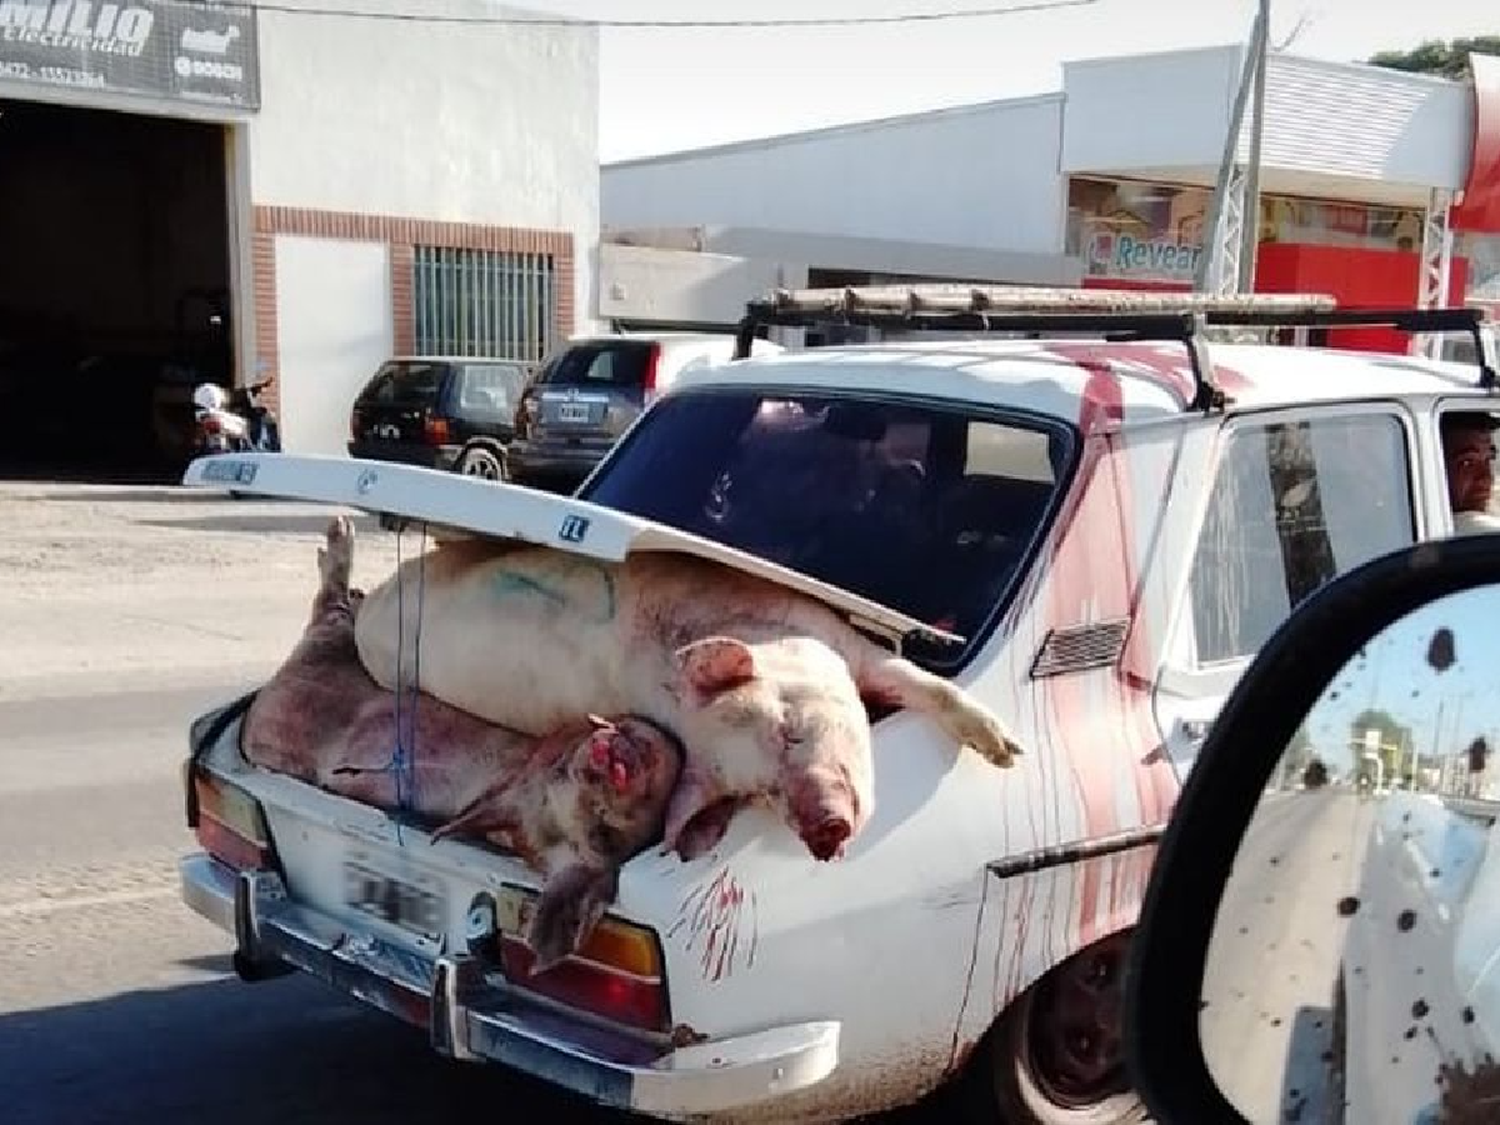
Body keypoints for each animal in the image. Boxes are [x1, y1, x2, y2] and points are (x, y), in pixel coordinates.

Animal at [238, 519, 681, 972]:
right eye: (561, 768)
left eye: (604, 835)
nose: (606, 760)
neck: (520, 768)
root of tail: (260, 706)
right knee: (333, 608)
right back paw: (341, 538)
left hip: (301, 685)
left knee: (329, 612)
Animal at [357, 543, 1026, 870]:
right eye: (756, 794)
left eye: (788, 731)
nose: (822, 832)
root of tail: (371, 602)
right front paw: (1012, 756)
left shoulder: (836, 638)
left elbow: (923, 682)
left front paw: (1009, 754)